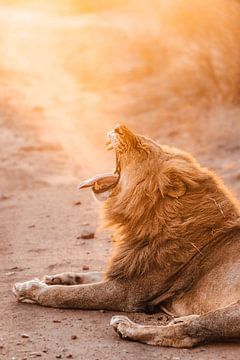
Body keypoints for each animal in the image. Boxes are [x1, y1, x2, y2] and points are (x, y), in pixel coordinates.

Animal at [13, 125, 240, 348]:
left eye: (144, 149)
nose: (119, 127)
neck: (146, 219)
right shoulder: (127, 269)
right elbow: (90, 275)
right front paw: (57, 277)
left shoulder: (126, 292)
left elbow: (67, 295)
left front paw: (29, 289)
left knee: (187, 334)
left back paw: (128, 327)